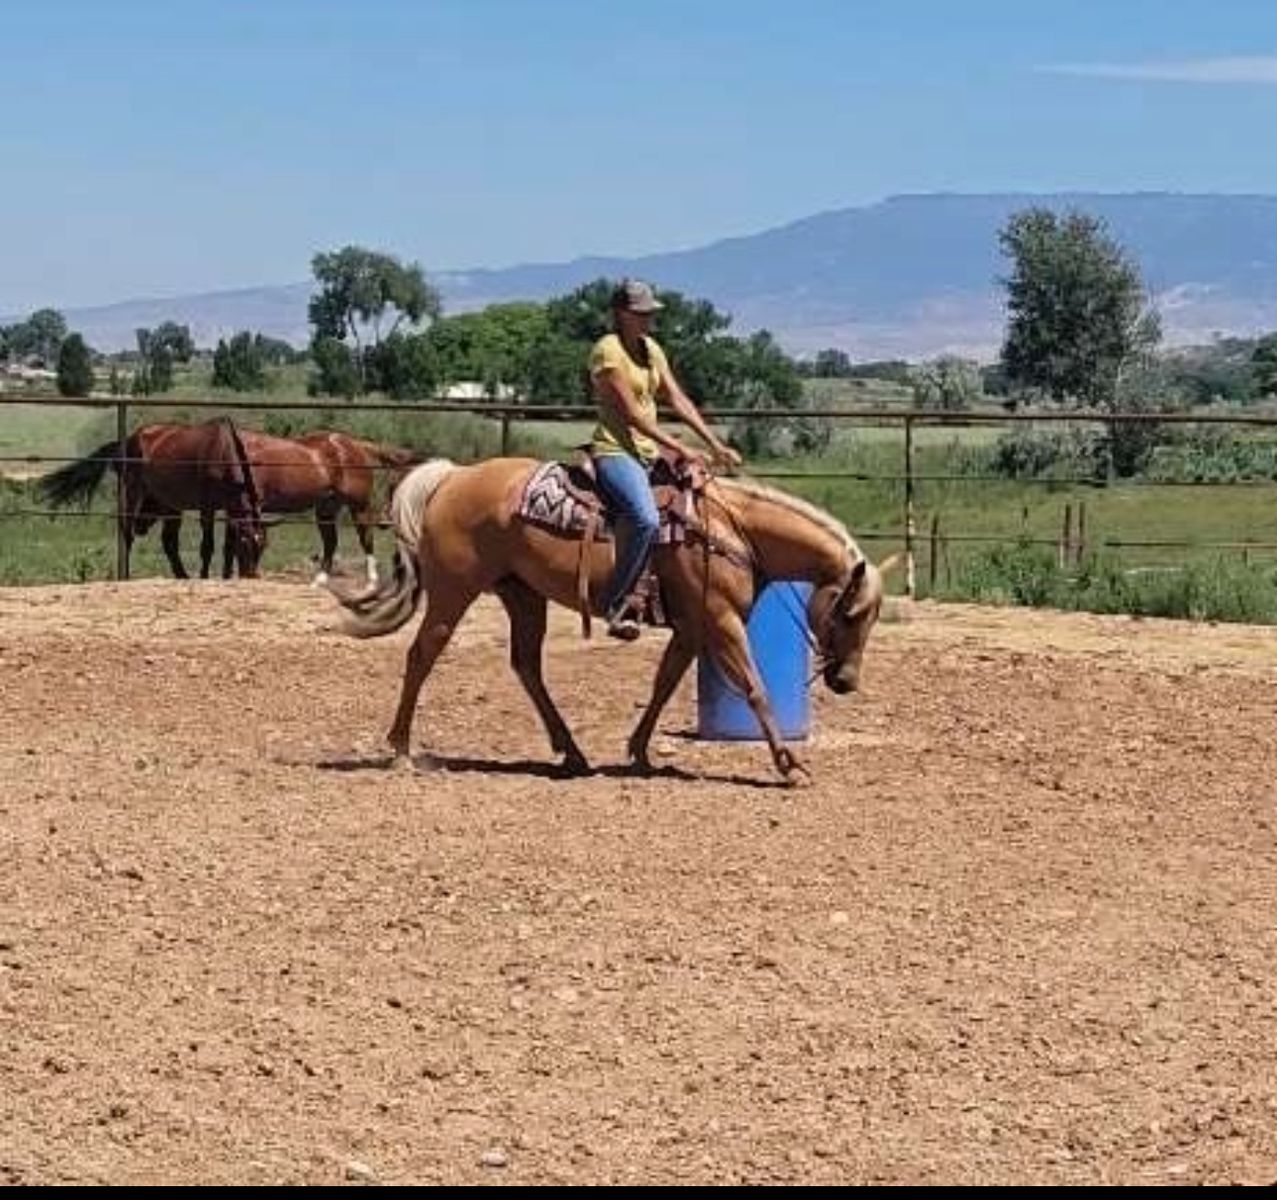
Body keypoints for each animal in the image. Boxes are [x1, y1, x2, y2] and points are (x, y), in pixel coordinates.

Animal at [40, 418, 267, 579]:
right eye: (246, 545)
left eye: (262, 548)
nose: (251, 576)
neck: (221, 450)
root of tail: (127, 441)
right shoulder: (207, 507)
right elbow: (207, 546)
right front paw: (203, 576)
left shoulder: (230, 508)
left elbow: (226, 544)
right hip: (133, 492)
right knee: (127, 532)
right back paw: (126, 575)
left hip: (168, 503)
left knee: (168, 542)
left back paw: (182, 575)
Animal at [328, 456, 892, 783]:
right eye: (850, 613)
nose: (846, 682)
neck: (730, 529)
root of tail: (453, 476)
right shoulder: (721, 622)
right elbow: (754, 687)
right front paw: (790, 766)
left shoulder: (692, 628)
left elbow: (665, 684)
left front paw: (639, 752)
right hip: (453, 590)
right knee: (422, 653)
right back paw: (401, 750)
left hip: (523, 595)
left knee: (526, 665)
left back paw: (572, 751)